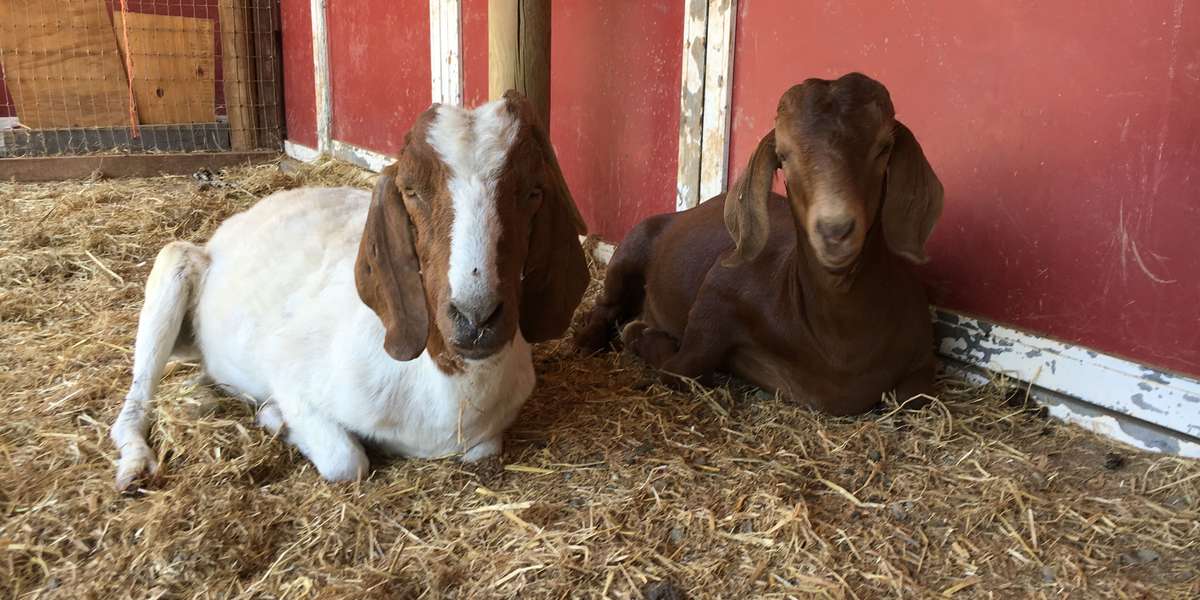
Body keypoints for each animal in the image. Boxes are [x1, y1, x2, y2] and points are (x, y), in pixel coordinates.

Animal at [110, 92, 589, 489]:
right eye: (410, 190)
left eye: (533, 191)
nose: (475, 318)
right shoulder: (292, 375)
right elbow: (346, 460)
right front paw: (276, 417)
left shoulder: (487, 435)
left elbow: (482, 451)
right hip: (174, 267)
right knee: (134, 400)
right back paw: (135, 465)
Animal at [575, 73, 944, 415]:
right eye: (783, 155)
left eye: (884, 147)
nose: (835, 231)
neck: (837, 342)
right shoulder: (719, 291)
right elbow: (680, 369)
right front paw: (643, 334)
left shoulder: (921, 359)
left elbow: (916, 399)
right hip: (632, 246)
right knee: (605, 305)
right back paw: (588, 337)